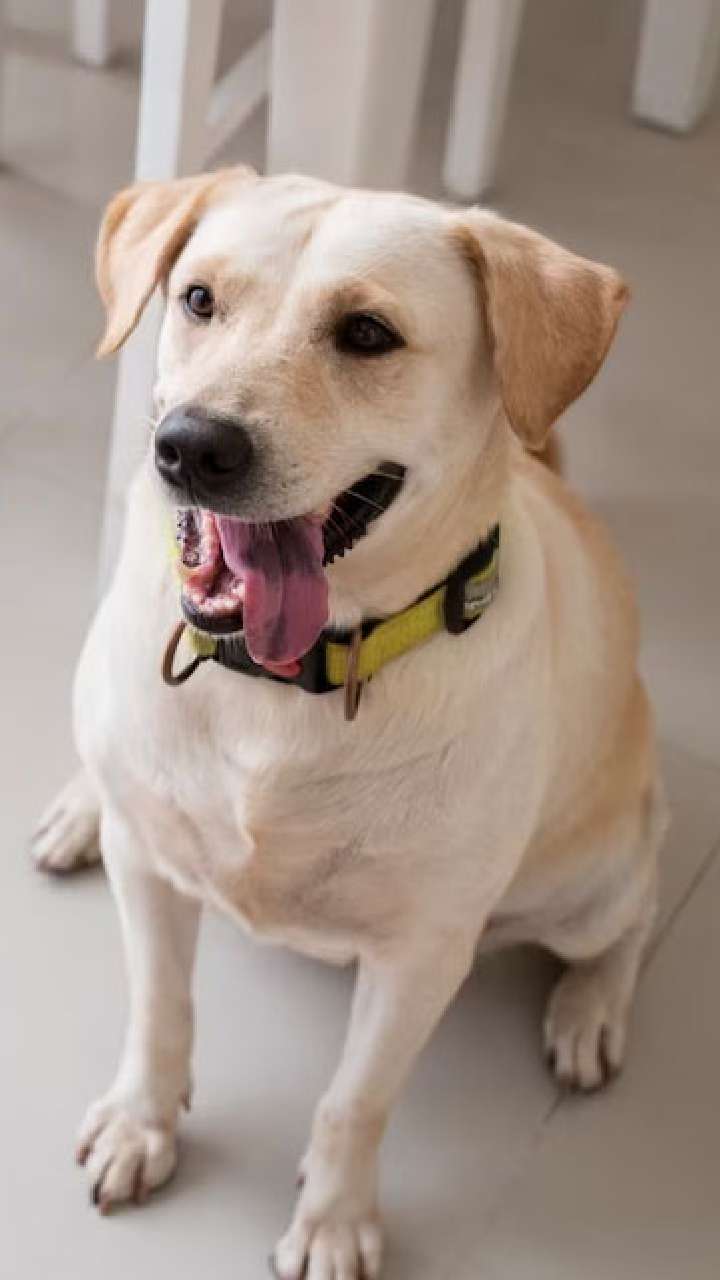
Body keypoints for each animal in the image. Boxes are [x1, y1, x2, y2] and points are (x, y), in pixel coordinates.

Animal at [32, 168, 667, 1280]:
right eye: (199, 299)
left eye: (369, 334)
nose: (191, 444)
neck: (284, 686)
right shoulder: (149, 874)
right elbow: (160, 1010)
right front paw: (141, 1123)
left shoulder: (420, 955)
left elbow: (354, 1102)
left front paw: (332, 1220)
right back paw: (81, 807)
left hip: (588, 881)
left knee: (634, 912)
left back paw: (591, 1009)